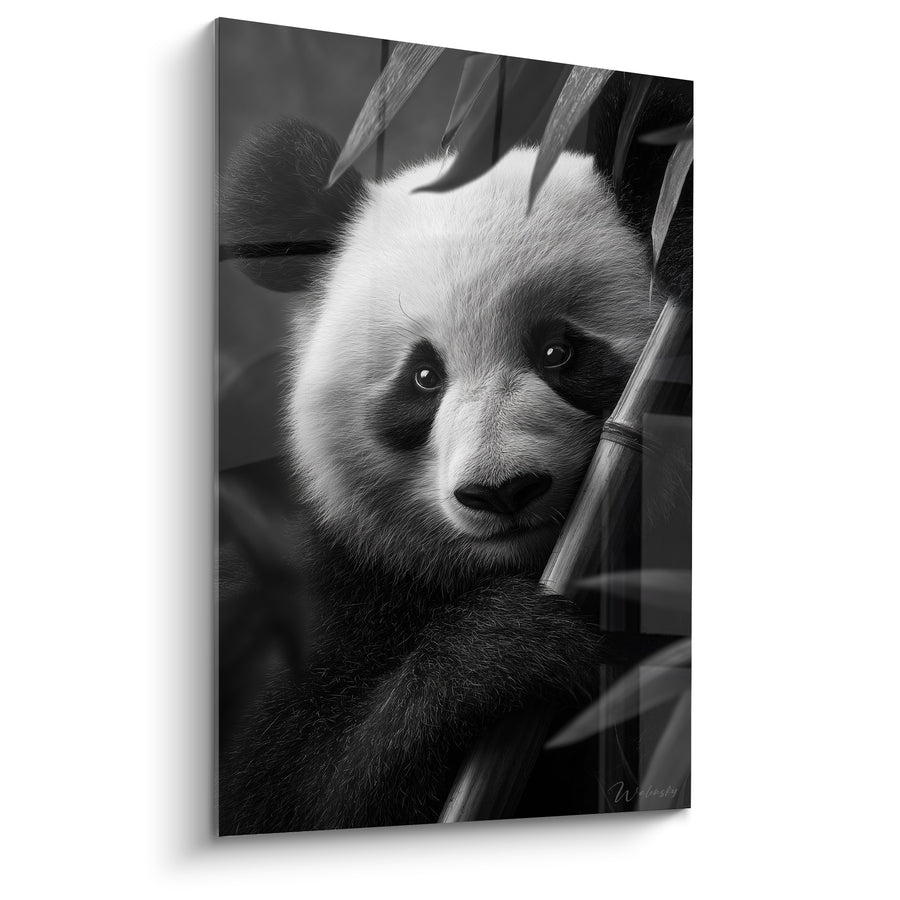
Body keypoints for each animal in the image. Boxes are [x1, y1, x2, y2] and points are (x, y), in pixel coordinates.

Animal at [218, 76, 691, 834]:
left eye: (559, 352)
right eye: (423, 376)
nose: (502, 491)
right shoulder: (312, 595)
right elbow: (282, 798)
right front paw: (507, 649)